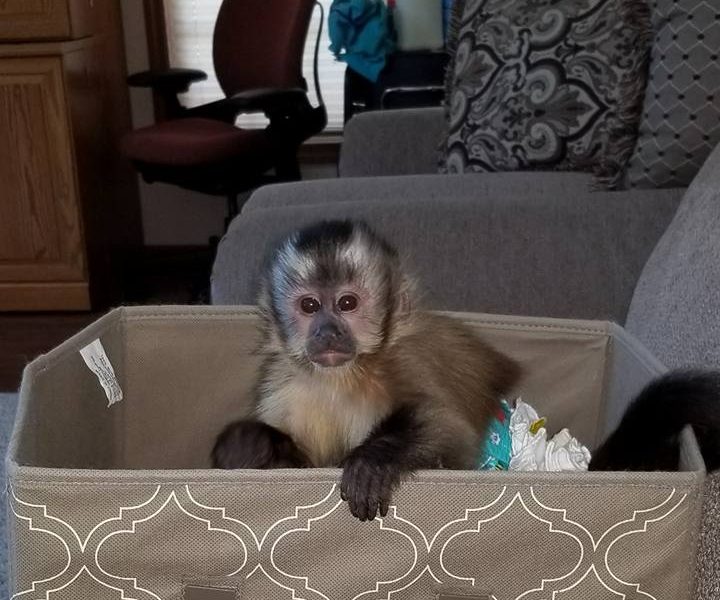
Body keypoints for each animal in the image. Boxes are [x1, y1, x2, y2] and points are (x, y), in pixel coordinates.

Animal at [212, 219, 521, 520]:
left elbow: (450, 428)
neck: (343, 378)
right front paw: (250, 446)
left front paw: (373, 460)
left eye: (347, 303)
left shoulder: (408, 357)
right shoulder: (284, 384)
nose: (327, 332)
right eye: (309, 305)